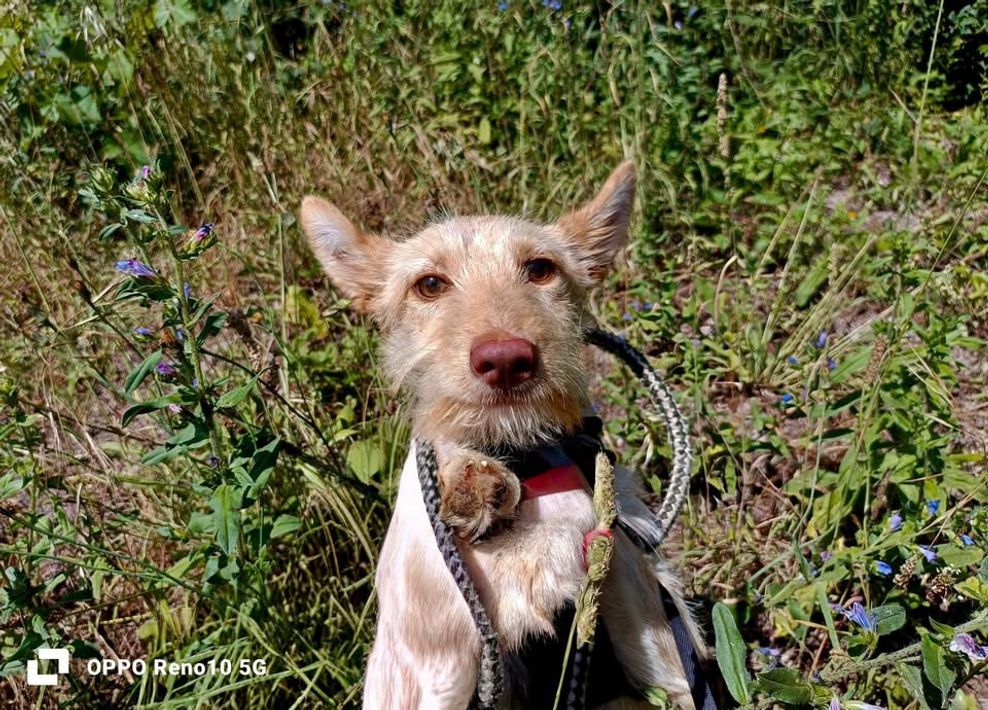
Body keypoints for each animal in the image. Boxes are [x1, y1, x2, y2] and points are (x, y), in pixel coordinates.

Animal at [301, 162, 712, 709]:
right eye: (428, 283)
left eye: (540, 269)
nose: (506, 360)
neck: (520, 461)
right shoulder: (433, 663)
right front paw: (471, 484)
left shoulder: (650, 628)